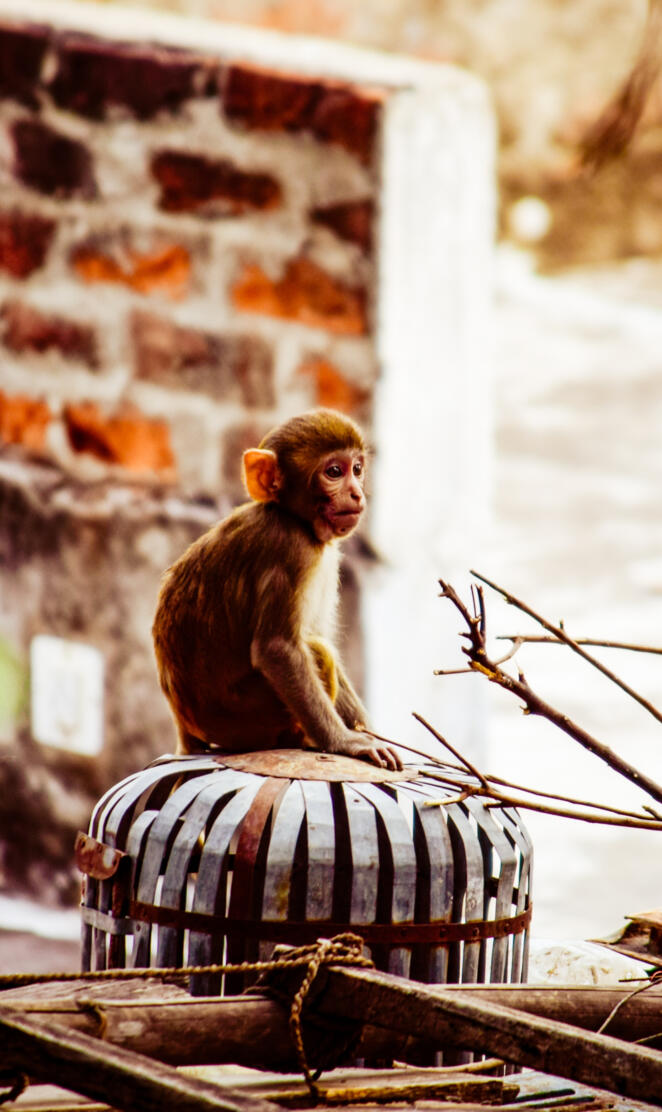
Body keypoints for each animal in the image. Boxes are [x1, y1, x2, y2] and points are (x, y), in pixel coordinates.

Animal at [152, 409, 402, 771]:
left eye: (357, 468)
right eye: (334, 472)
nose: (357, 493)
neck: (295, 519)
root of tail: (186, 728)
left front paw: (369, 731)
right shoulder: (289, 549)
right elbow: (278, 649)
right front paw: (346, 742)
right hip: (245, 719)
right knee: (316, 653)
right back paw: (304, 741)